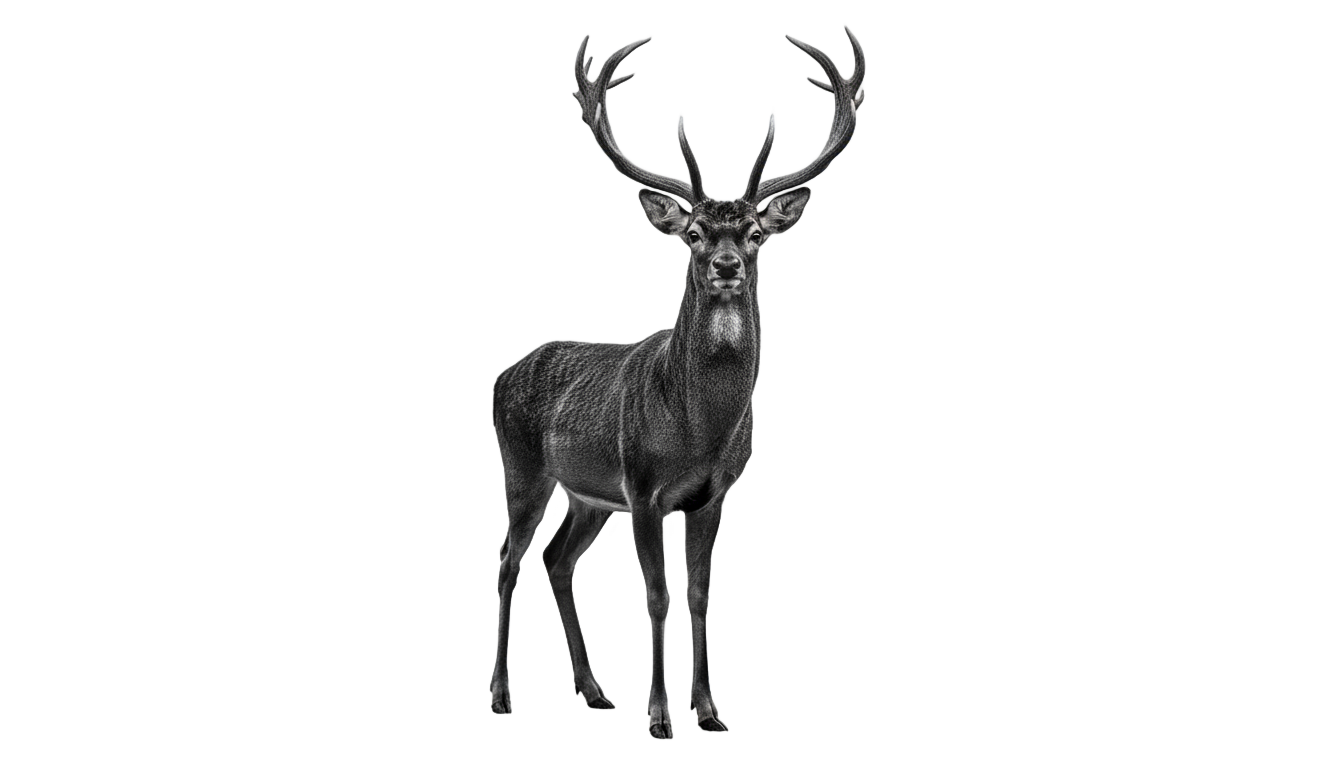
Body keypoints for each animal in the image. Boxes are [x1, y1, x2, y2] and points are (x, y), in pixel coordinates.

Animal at [485, 28, 867, 739]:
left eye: (753, 231)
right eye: (692, 232)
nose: (726, 264)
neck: (696, 431)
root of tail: (502, 376)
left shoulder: (713, 492)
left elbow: (697, 595)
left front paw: (709, 711)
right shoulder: (641, 486)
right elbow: (655, 596)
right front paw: (660, 717)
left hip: (587, 496)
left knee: (555, 558)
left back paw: (593, 692)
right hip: (522, 465)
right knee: (507, 558)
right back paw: (500, 696)